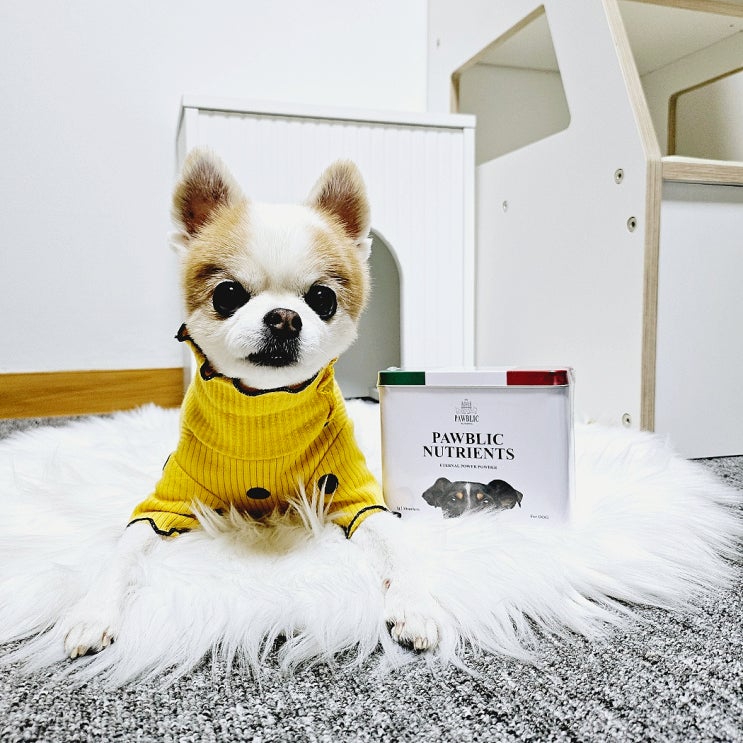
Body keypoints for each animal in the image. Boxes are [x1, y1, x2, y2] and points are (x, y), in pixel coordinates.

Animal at [62, 149, 441, 657]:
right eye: (227, 293)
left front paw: (415, 604)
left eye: (322, 298)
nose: (283, 318)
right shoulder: (165, 504)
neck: (263, 409)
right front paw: (93, 610)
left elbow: (396, 544)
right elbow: (123, 550)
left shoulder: (356, 498)